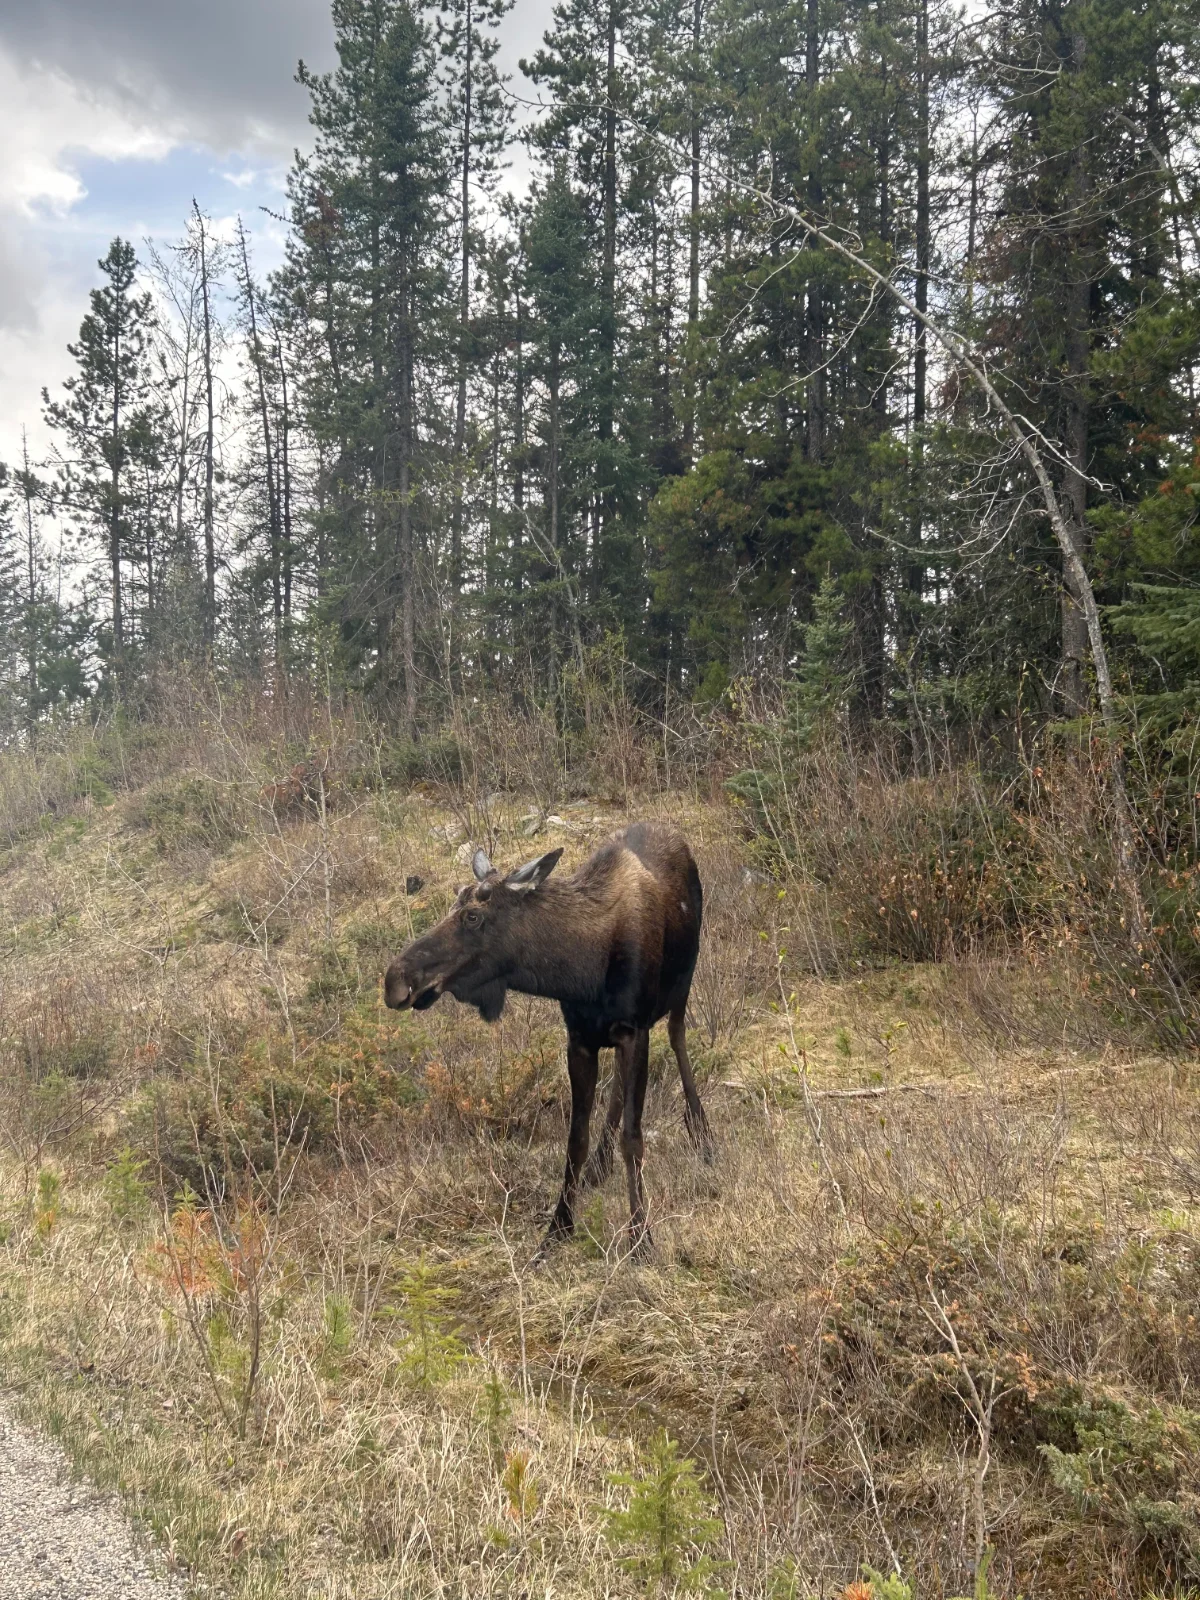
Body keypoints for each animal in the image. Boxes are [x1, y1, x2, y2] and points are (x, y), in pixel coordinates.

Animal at [383, 822, 712, 1254]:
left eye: (472, 916)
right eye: (453, 905)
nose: (395, 980)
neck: (580, 971)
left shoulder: (635, 1030)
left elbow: (633, 1138)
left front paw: (640, 1236)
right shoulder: (580, 1039)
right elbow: (576, 1140)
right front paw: (558, 1228)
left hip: (682, 986)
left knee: (678, 1039)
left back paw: (703, 1135)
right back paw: (600, 1165)